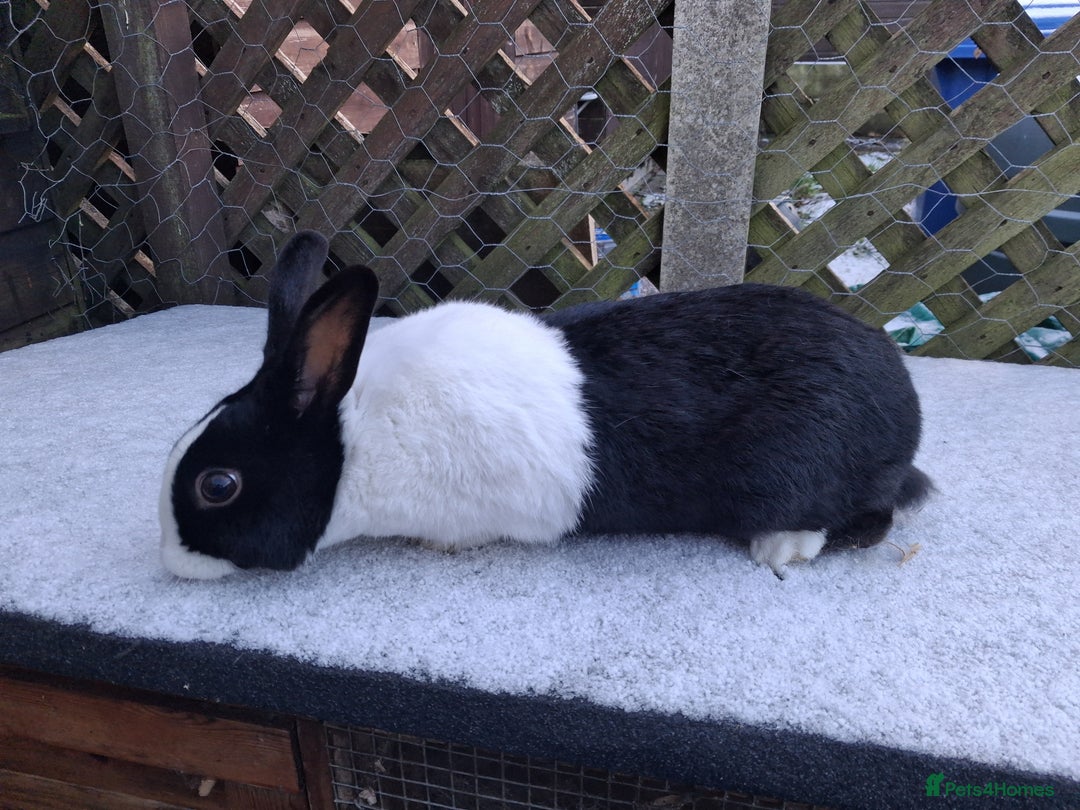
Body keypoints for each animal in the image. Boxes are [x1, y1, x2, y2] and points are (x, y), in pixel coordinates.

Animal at [160, 230, 931, 580]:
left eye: (218, 485)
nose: (171, 561)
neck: (351, 440)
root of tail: (905, 408)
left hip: (795, 475)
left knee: (871, 519)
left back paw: (782, 547)